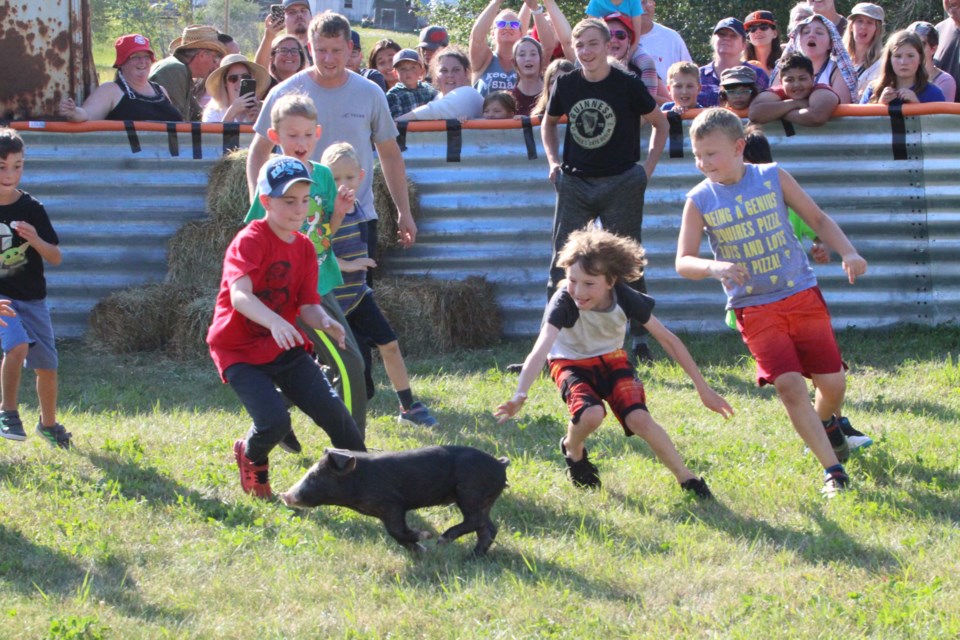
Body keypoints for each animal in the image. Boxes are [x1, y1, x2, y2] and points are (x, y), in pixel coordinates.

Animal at [280, 444, 510, 556]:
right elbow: (396, 535)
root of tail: (500, 464)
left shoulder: (392, 504)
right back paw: (473, 556)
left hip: (470, 492)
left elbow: (396, 531)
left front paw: (427, 538)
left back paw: (442, 540)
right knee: (488, 527)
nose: (285, 495)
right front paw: (421, 552)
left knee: (475, 521)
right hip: (482, 500)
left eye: (314, 476)